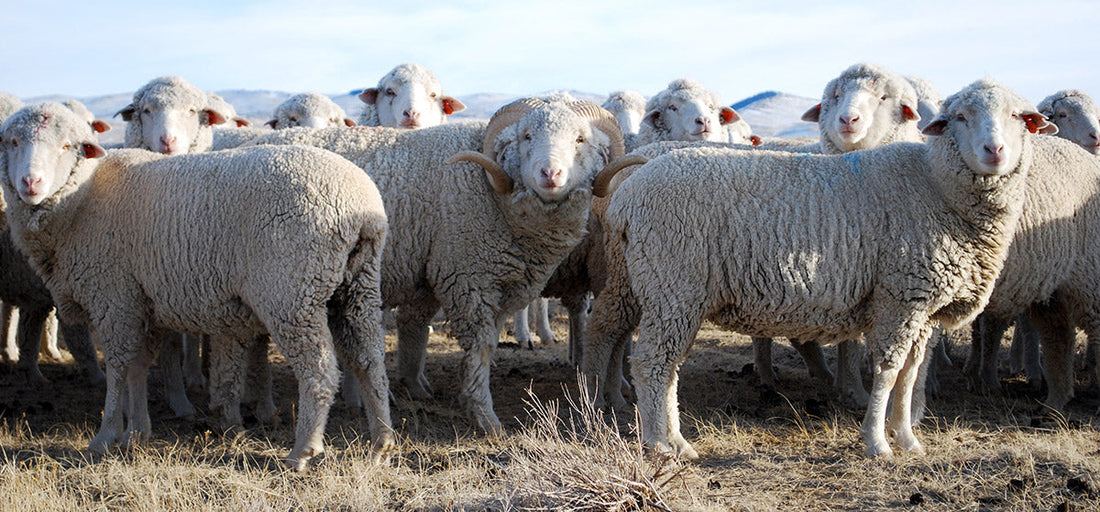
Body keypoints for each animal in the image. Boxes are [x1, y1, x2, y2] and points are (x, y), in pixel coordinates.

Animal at [0, 101, 396, 469]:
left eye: (67, 146)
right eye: (13, 142)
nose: (30, 184)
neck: (81, 201)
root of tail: (359, 204)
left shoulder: (114, 298)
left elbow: (118, 368)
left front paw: (106, 435)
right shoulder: (143, 302)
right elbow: (139, 368)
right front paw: (136, 433)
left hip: (291, 292)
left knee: (319, 371)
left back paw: (303, 451)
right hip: (355, 287)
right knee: (369, 361)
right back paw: (380, 444)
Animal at [248, 96, 629, 431]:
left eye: (580, 139)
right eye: (526, 136)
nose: (550, 173)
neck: (492, 191)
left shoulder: (492, 281)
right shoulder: (468, 277)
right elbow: (480, 348)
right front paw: (485, 417)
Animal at [585, 80, 1056, 458]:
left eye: (1019, 118)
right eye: (960, 117)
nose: (994, 151)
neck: (936, 185)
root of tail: (639, 177)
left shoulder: (919, 307)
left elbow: (910, 373)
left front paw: (907, 439)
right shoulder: (899, 297)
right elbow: (888, 371)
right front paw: (878, 443)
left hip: (663, 287)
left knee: (664, 363)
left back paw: (674, 439)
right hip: (673, 284)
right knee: (650, 361)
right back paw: (657, 442)